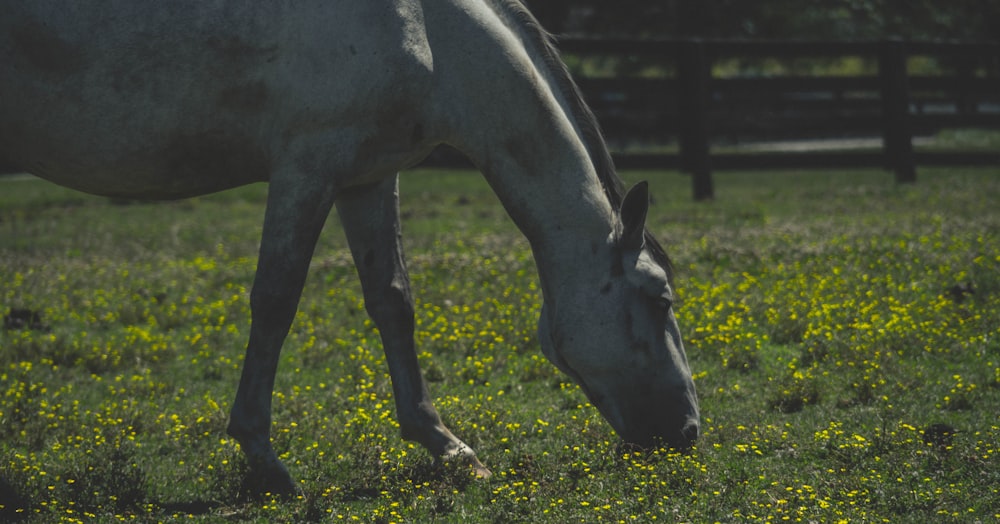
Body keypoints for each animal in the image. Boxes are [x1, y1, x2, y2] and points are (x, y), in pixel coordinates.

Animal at [0, 0, 700, 494]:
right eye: (660, 300)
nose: (688, 432)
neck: (429, 33)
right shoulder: (306, 167)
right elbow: (276, 301)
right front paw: (264, 460)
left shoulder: (367, 176)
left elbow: (393, 301)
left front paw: (448, 447)